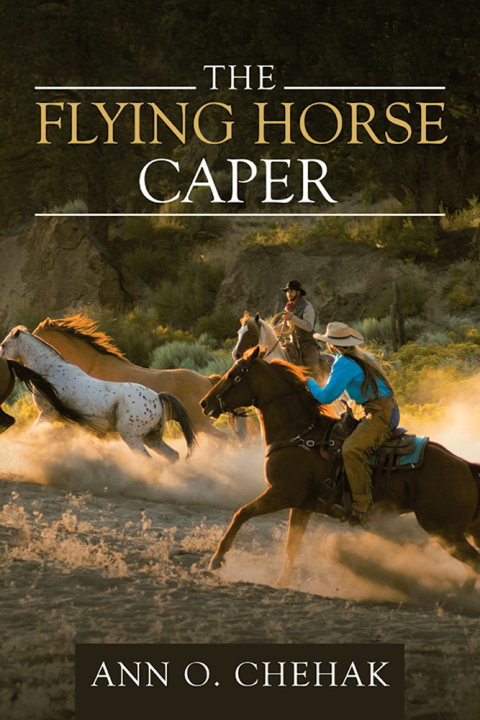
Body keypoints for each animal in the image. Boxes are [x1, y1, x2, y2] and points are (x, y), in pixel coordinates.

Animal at [0, 327, 197, 462]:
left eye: (3, 344)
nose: (1, 359)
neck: (50, 371)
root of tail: (157, 397)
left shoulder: (48, 413)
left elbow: (30, 434)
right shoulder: (68, 422)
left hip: (131, 436)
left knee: (147, 458)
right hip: (152, 438)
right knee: (173, 455)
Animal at [200, 346, 480, 594]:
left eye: (235, 374)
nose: (204, 403)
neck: (300, 434)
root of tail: (464, 465)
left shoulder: (282, 493)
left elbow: (242, 513)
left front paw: (217, 560)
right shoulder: (302, 505)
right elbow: (291, 546)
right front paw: (281, 582)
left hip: (442, 529)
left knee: (473, 562)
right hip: (462, 528)